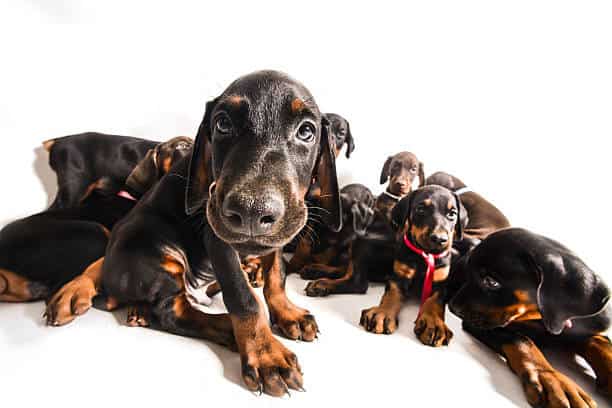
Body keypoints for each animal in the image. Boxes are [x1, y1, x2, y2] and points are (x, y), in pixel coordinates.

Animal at [98, 71, 342, 396]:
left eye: (306, 131)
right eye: (222, 124)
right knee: (171, 311)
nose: (251, 212)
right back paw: (227, 327)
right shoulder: (218, 237)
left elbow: (275, 274)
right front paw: (265, 353)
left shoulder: (281, 229)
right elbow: (243, 296)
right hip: (152, 249)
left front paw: (286, 312)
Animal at [304, 151, 424, 298]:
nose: (311, 249)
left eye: (332, 228)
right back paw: (315, 270)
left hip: (361, 241)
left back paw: (321, 284)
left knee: (357, 283)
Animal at [450, 228, 612, 406]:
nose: (452, 308)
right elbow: (520, 340)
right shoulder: (482, 324)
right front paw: (551, 378)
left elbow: (600, 343)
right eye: (467, 271)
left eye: (491, 282)